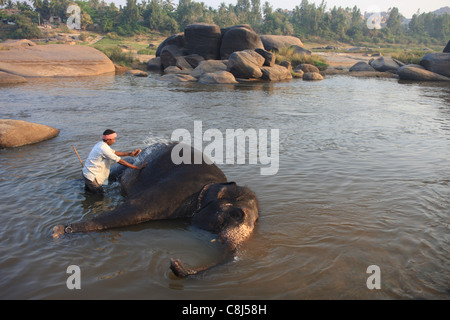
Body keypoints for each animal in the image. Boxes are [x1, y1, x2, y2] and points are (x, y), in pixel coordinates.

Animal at [51, 142, 260, 278]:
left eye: (256, 221)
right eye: (237, 215)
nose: (175, 263)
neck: (211, 185)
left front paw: (61, 230)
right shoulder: (176, 189)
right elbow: (135, 209)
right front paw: (60, 230)